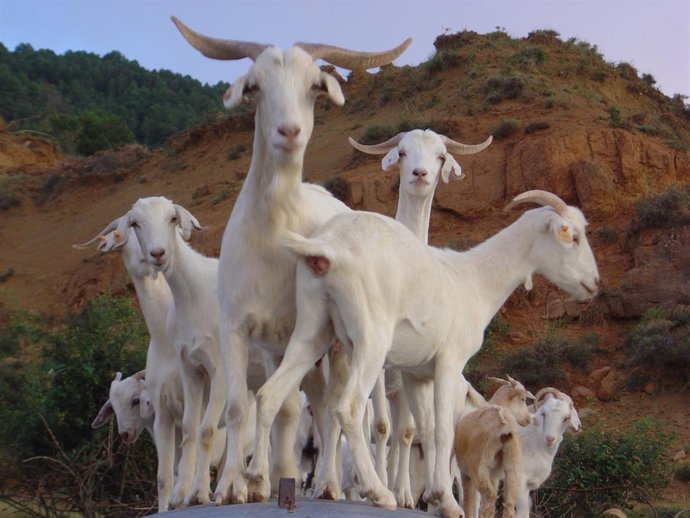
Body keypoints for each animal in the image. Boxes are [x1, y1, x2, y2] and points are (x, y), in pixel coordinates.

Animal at [171, 15, 411, 505]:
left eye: (314, 86)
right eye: (256, 86)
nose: (289, 132)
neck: (271, 233)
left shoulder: (302, 333)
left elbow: (293, 408)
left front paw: (260, 478)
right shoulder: (240, 330)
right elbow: (242, 406)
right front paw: (236, 483)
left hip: (336, 345)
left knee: (329, 407)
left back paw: (330, 484)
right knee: (308, 402)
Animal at [454, 376, 534, 518]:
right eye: (523, 399)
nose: (528, 419)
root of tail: (504, 427)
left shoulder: (466, 472)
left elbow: (468, 500)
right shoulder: (494, 476)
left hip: (479, 468)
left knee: (489, 499)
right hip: (513, 466)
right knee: (508, 504)